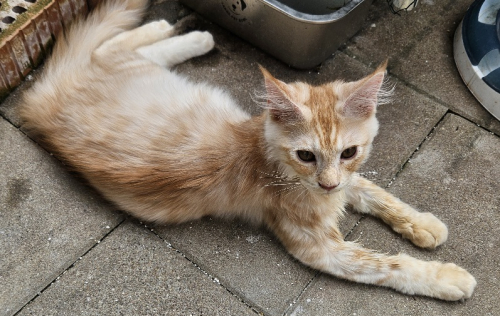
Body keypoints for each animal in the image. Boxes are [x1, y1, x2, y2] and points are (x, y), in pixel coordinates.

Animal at [19, 0, 474, 302]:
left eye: (349, 152)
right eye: (305, 155)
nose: (327, 184)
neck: (268, 155)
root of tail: (42, 97)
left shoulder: (346, 183)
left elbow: (380, 194)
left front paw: (423, 225)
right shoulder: (320, 248)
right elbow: (387, 266)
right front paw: (446, 278)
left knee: (116, 48)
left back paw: (189, 35)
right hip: (127, 71)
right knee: (109, 47)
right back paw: (185, 31)